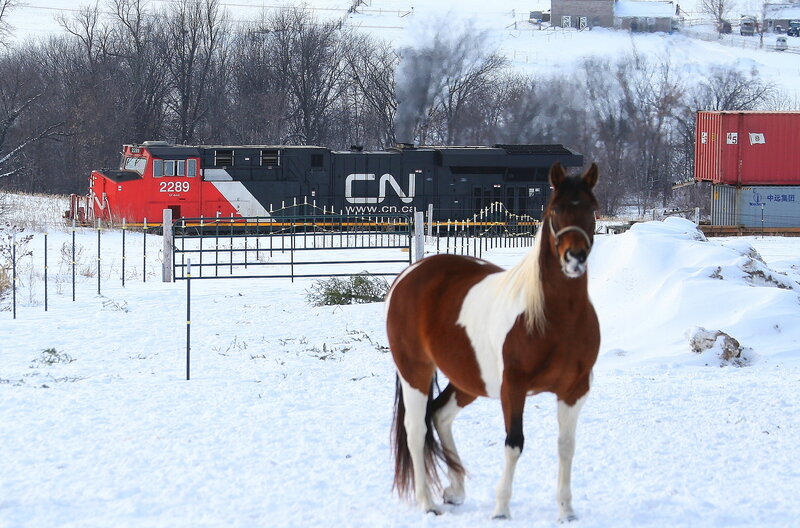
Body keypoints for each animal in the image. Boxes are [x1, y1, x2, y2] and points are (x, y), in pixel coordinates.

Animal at [386, 161, 600, 521]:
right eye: (555, 209)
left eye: (591, 208)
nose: (575, 257)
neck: (552, 318)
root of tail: (410, 274)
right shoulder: (512, 387)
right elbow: (514, 443)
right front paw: (501, 508)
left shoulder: (575, 390)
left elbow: (566, 447)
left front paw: (566, 511)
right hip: (415, 371)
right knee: (416, 429)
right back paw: (427, 503)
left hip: (469, 379)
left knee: (440, 415)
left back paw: (455, 490)